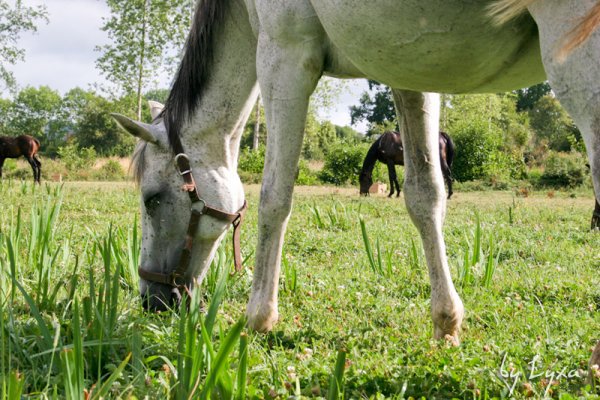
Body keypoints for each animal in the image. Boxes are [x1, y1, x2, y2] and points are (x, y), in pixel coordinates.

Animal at [113, 0, 600, 366]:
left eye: (152, 199)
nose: (152, 300)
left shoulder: (284, 55)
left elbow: (275, 196)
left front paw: (258, 319)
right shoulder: (411, 70)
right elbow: (425, 196)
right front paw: (446, 323)